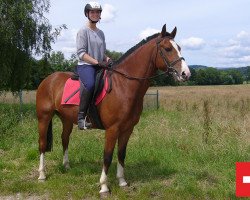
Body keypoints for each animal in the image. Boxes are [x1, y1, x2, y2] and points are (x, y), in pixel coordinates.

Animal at [36, 24, 190, 195]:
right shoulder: (112, 129)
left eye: (179, 48)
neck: (123, 85)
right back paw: (42, 175)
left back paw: (66, 166)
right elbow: (108, 156)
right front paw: (104, 186)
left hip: (67, 119)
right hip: (44, 118)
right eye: (168, 48)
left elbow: (121, 154)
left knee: (65, 139)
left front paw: (122, 181)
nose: (186, 74)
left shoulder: (127, 129)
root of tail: (48, 79)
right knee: (42, 144)